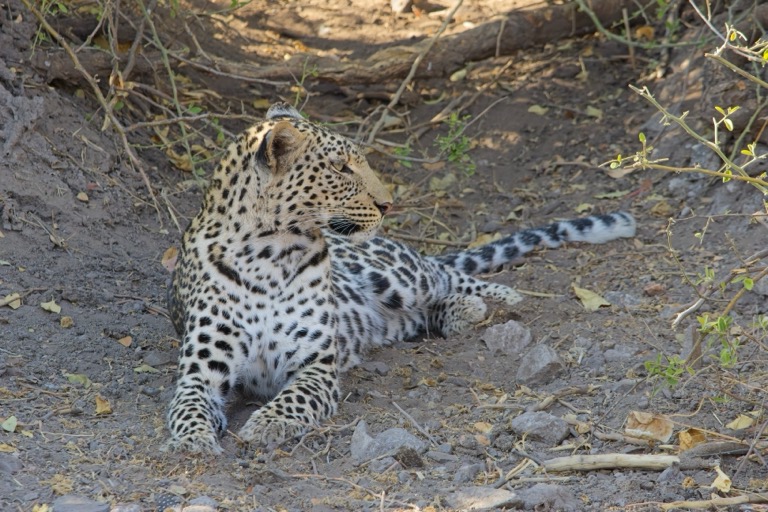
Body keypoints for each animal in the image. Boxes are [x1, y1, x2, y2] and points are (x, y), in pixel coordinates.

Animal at [166, 102, 636, 453]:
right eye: (340, 168)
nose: (388, 203)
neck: (269, 253)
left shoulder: (315, 366)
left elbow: (293, 399)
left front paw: (265, 424)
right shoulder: (199, 373)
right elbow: (186, 407)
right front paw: (192, 441)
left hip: (399, 275)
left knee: (447, 272)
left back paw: (500, 297)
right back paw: (462, 312)